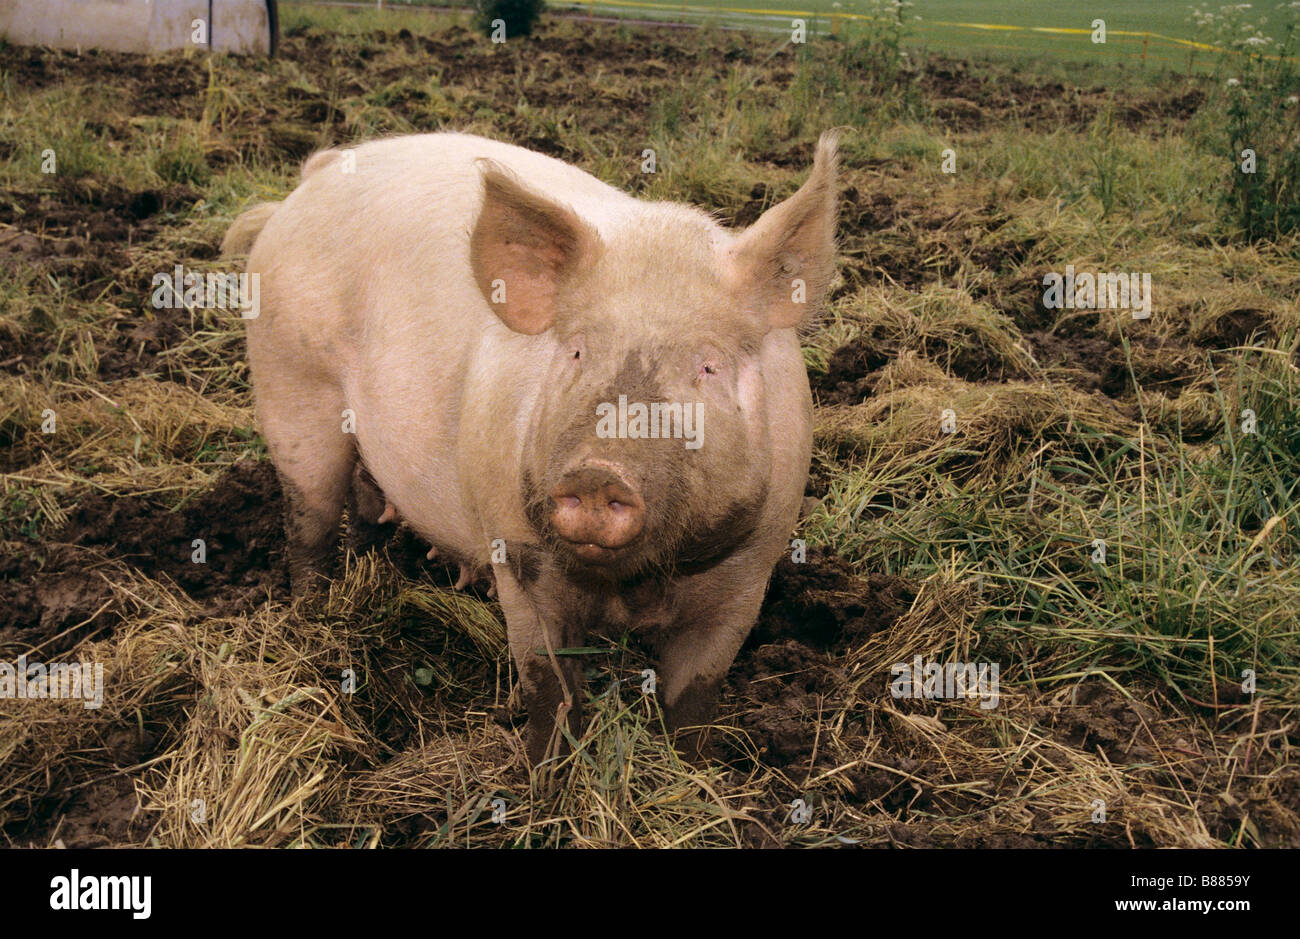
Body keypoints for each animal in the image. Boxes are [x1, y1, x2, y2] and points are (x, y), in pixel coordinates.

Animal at [220, 131, 842, 759]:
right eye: (575, 352)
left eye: (708, 366)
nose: (599, 472)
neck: (630, 582)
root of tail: (313, 178)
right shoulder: (517, 555)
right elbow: (549, 687)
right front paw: (546, 772)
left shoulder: (749, 574)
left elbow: (693, 698)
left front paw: (688, 770)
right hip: (291, 385)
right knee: (309, 524)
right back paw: (312, 616)